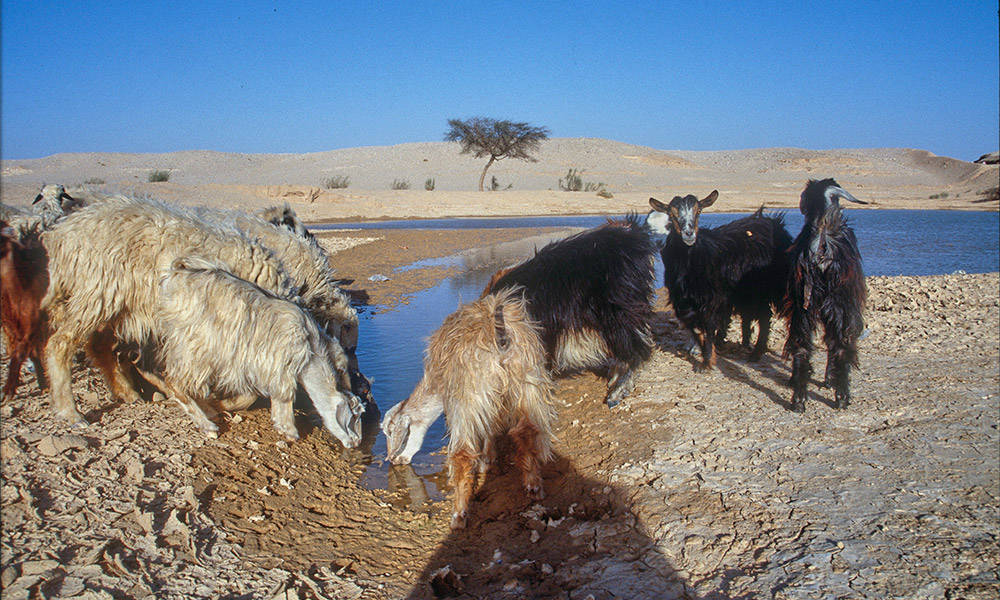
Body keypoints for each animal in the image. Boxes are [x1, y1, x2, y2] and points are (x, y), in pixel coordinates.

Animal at [152, 256, 364, 446]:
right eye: (353, 417)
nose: (356, 442)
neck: (311, 345)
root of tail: (175, 275)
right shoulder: (271, 365)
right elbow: (283, 397)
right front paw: (290, 431)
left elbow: (256, 397)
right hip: (194, 347)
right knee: (175, 382)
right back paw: (207, 425)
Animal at [382, 288, 556, 528]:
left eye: (392, 432)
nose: (394, 460)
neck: (434, 383)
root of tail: (499, 332)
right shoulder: (493, 400)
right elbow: (491, 428)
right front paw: (488, 461)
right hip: (528, 381)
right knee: (527, 431)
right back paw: (534, 486)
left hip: (468, 396)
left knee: (462, 453)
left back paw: (459, 515)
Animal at [648, 192, 796, 370]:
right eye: (672, 214)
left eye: (698, 212)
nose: (689, 234)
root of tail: (774, 223)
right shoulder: (683, 301)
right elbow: (695, 327)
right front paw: (699, 350)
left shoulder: (712, 299)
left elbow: (708, 326)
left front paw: (706, 361)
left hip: (764, 289)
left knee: (765, 316)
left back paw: (756, 353)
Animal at [780, 178, 868, 412]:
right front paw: (830, 381)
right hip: (840, 305)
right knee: (840, 346)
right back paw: (842, 397)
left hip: (803, 308)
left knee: (802, 346)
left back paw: (798, 399)